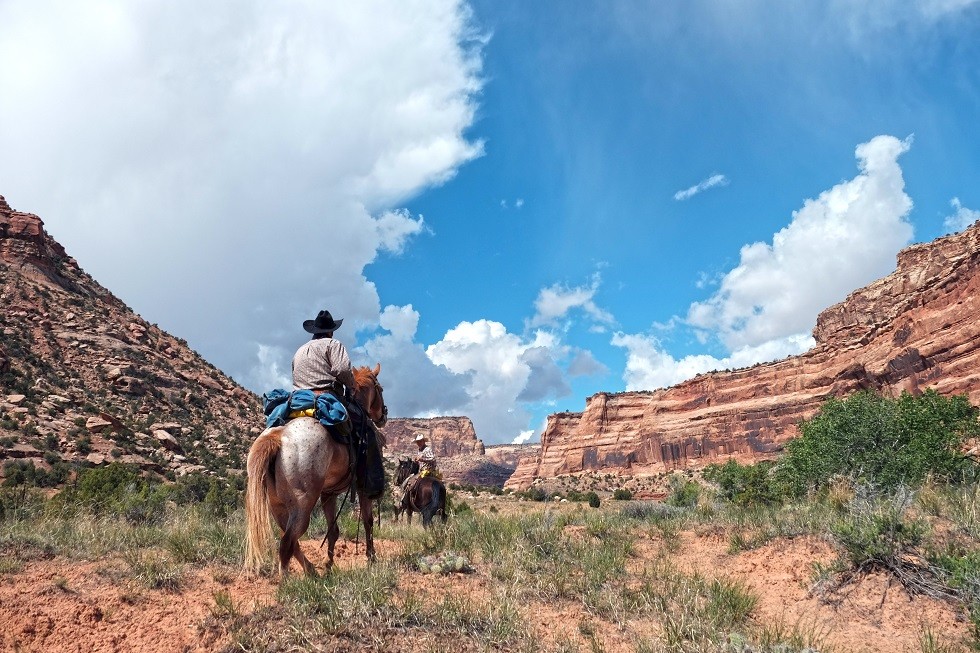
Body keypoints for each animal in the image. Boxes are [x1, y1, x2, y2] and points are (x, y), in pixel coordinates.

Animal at [244, 364, 388, 577]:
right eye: (380, 389)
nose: (384, 414)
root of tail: (279, 436)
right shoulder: (362, 490)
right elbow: (368, 521)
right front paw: (371, 558)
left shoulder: (329, 493)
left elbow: (333, 530)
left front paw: (329, 564)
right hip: (303, 505)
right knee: (287, 542)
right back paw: (287, 580)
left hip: (277, 506)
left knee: (290, 540)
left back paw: (312, 570)